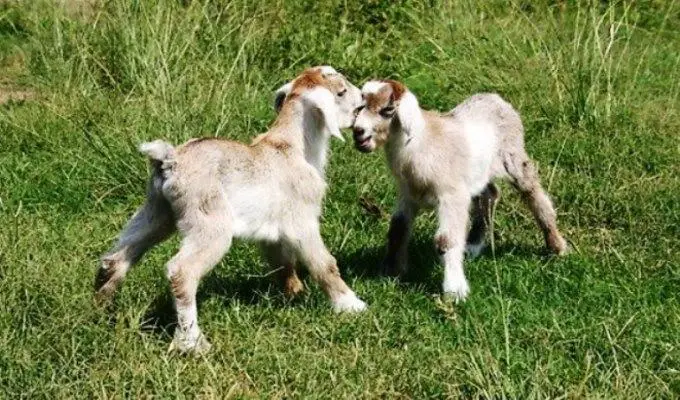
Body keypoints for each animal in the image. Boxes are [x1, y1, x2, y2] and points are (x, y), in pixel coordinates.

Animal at [95, 66, 366, 354]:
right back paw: (193, 343)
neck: (291, 147)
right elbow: (324, 264)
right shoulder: (302, 219)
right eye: (341, 92)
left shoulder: (272, 230)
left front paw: (294, 293)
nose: (362, 98)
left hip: (157, 212)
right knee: (181, 271)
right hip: (208, 220)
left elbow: (282, 263)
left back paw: (101, 313)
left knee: (116, 257)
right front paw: (351, 305)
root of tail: (170, 160)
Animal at [352, 79, 567, 301]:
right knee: (490, 194)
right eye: (360, 106)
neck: (420, 143)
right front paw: (391, 273)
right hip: (478, 172)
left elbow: (445, 240)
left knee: (532, 192)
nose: (358, 131)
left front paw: (455, 290)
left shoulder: (451, 195)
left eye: (387, 110)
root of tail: (494, 97)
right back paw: (473, 244)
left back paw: (556, 245)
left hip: (513, 155)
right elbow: (397, 229)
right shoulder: (408, 195)